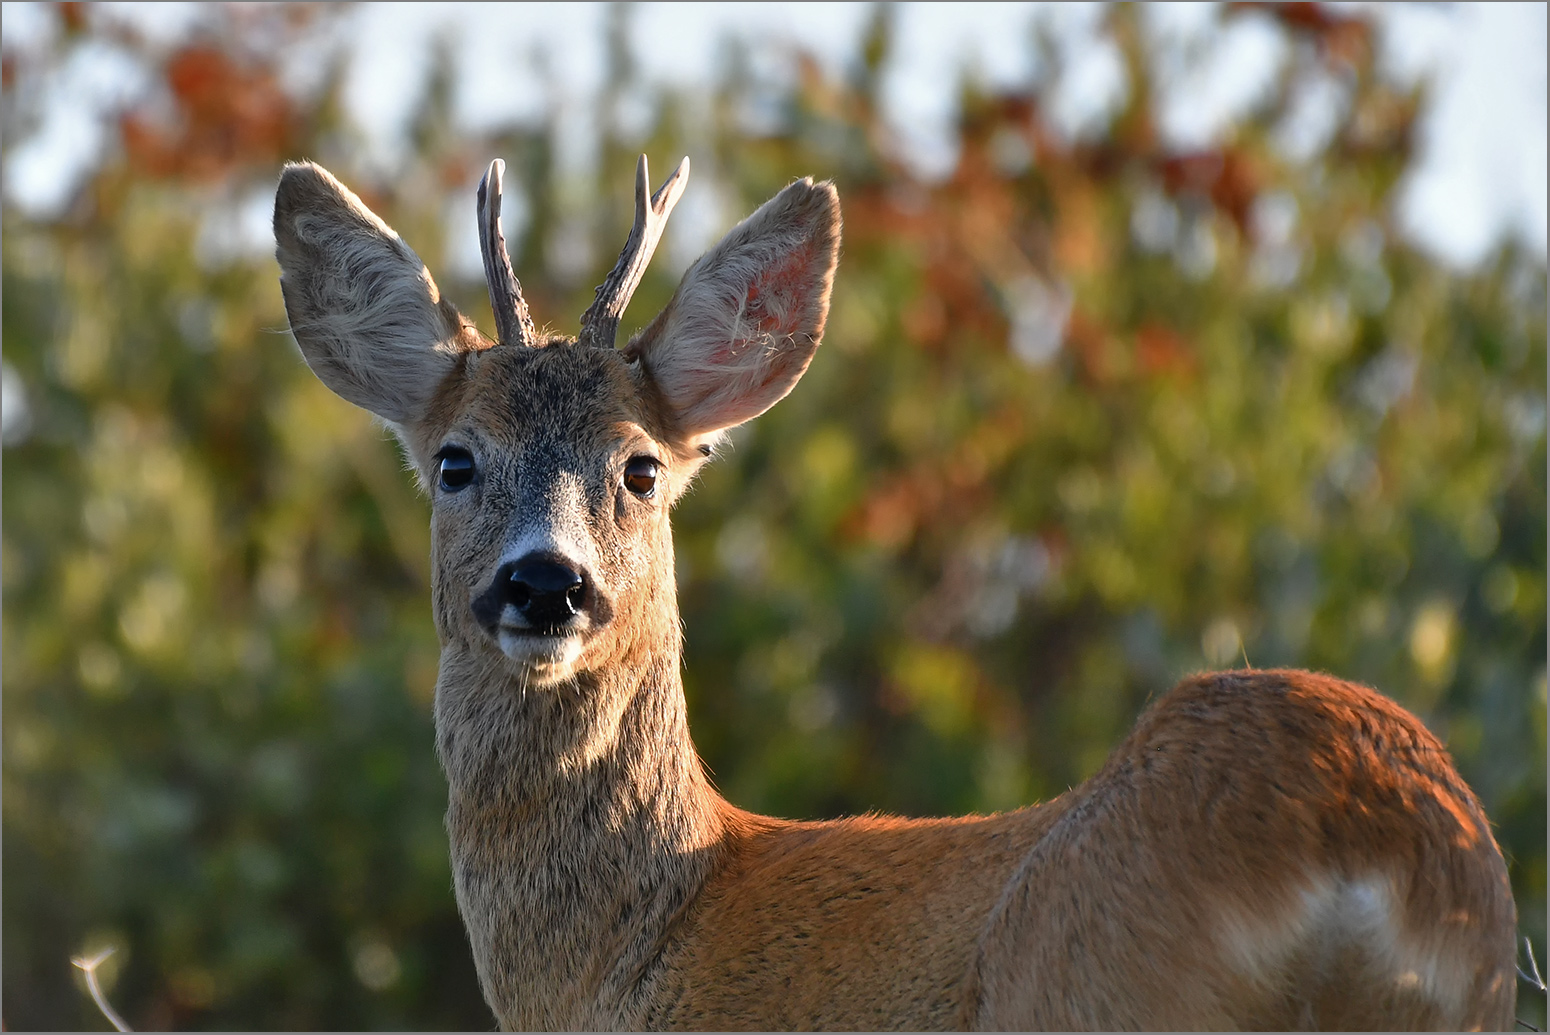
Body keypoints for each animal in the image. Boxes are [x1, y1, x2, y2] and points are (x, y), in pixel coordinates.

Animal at [272, 155, 1519, 1035]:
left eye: (641, 468)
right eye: (454, 461)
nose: (545, 581)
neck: (655, 938)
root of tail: (1358, 833)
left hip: (1104, 989)